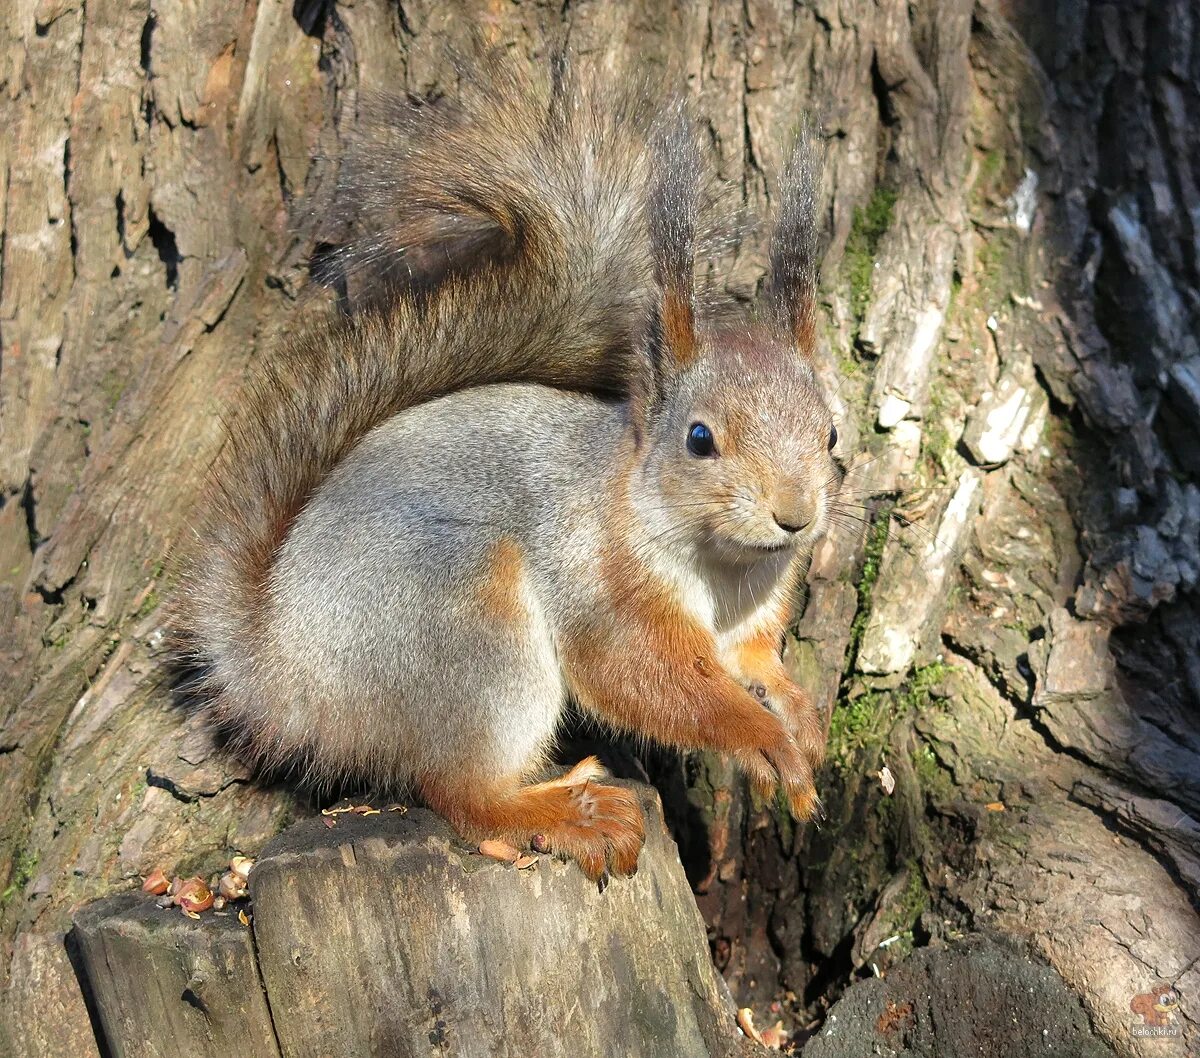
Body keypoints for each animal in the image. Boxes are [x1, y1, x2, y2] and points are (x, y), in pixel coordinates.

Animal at [180, 53, 844, 878]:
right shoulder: (603, 587)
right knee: (462, 793)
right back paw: (560, 811)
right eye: (699, 439)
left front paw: (801, 722)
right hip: (470, 625)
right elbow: (645, 679)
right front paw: (762, 738)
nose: (796, 516)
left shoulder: (748, 624)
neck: (725, 568)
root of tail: (283, 672)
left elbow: (757, 664)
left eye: (832, 436)